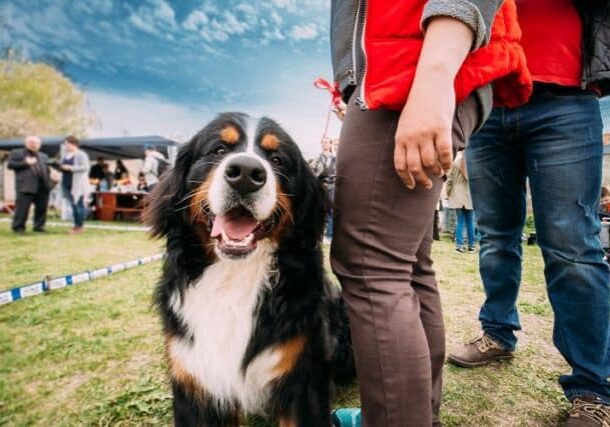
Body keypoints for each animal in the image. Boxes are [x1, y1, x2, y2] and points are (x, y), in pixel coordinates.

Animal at [145, 112, 354, 426]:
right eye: (219, 149)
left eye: (277, 159)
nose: (245, 172)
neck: (234, 277)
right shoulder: (196, 382)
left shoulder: (302, 382)